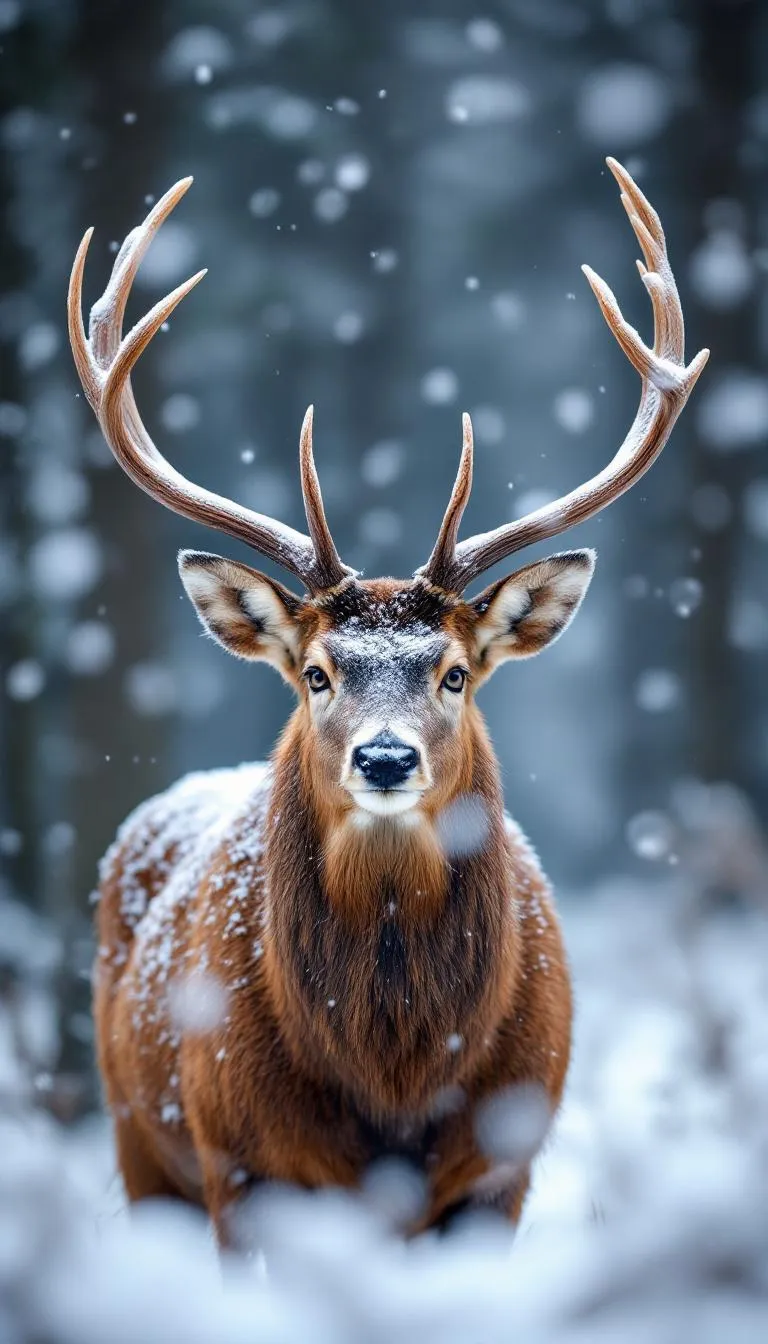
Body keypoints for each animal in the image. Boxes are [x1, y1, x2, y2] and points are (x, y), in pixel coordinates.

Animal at [68, 159, 708, 1247]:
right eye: (317, 672)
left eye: (454, 672)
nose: (384, 758)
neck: (396, 1073)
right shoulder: (237, 1160)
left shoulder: (503, 1168)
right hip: (136, 1141)